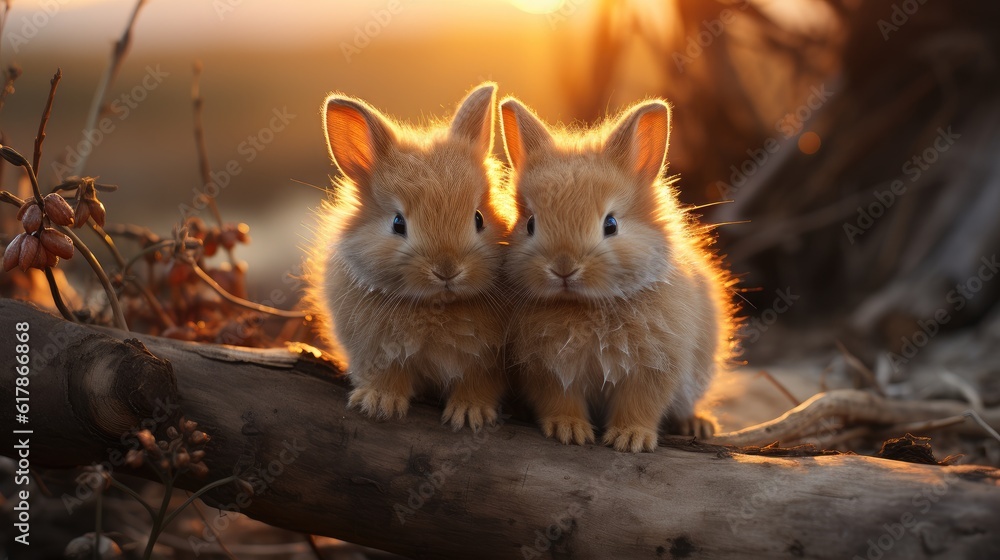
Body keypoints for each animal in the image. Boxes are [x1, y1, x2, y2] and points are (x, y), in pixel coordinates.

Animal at [302, 84, 512, 434]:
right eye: (398, 223)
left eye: (479, 218)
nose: (446, 270)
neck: (437, 307)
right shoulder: (376, 353)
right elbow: (388, 377)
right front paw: (378, 403)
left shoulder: (487, 363)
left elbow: (477, 384)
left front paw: (470, 414)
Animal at [498, 96, 736, 452]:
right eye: (530, 224)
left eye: (610, 224)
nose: (563, 268)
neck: (584, 306)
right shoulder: (548, 370)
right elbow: (560, 401)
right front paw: (569, 430)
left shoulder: (654, 369)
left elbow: (639, 405)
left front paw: (630, 438)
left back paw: (698, 424)